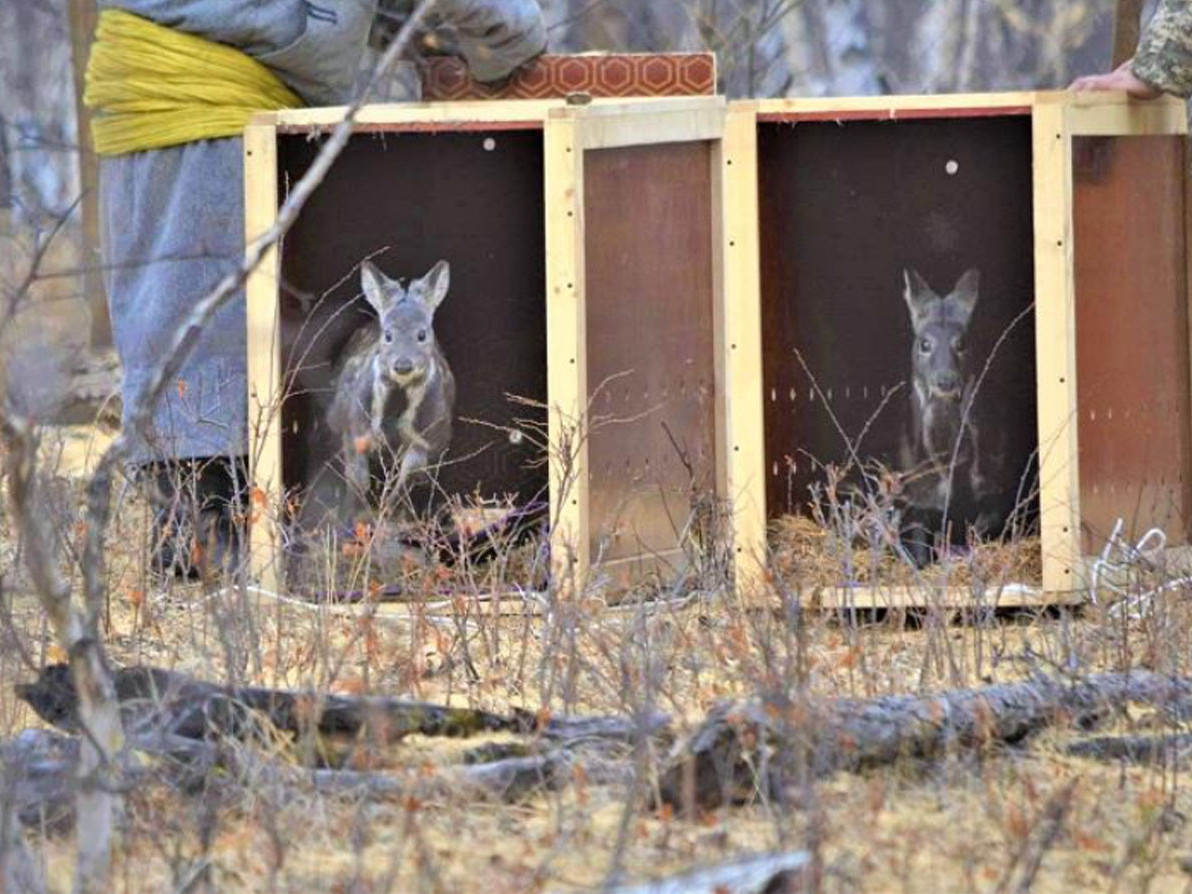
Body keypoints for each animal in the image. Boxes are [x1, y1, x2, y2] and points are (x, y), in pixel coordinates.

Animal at [326, 257, 455, 524]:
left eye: (422, 334)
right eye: (387, 335)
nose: (403, 365)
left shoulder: (426, 439)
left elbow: (406, 481)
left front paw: (391, 516)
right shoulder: (354, 428)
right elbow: (358, 479)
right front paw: (354, 516)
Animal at [896, 268, 996, 567]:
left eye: (962, 343)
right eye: (924, 343)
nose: (945, 381)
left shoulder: (998, 489)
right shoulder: (915, 500)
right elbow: (919, 555)